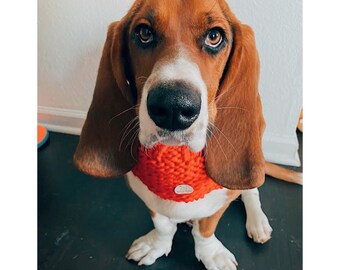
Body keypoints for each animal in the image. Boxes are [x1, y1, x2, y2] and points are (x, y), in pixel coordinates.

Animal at [73, 1, 274, 268]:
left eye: (214, 36)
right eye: (144, 32)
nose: (173, 107)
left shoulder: (221, 200)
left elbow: (205, 230)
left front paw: (211, 254)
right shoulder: (149, 199)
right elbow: (163, 226)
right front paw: (155, 245)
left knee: (251, 190)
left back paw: (257, 222)